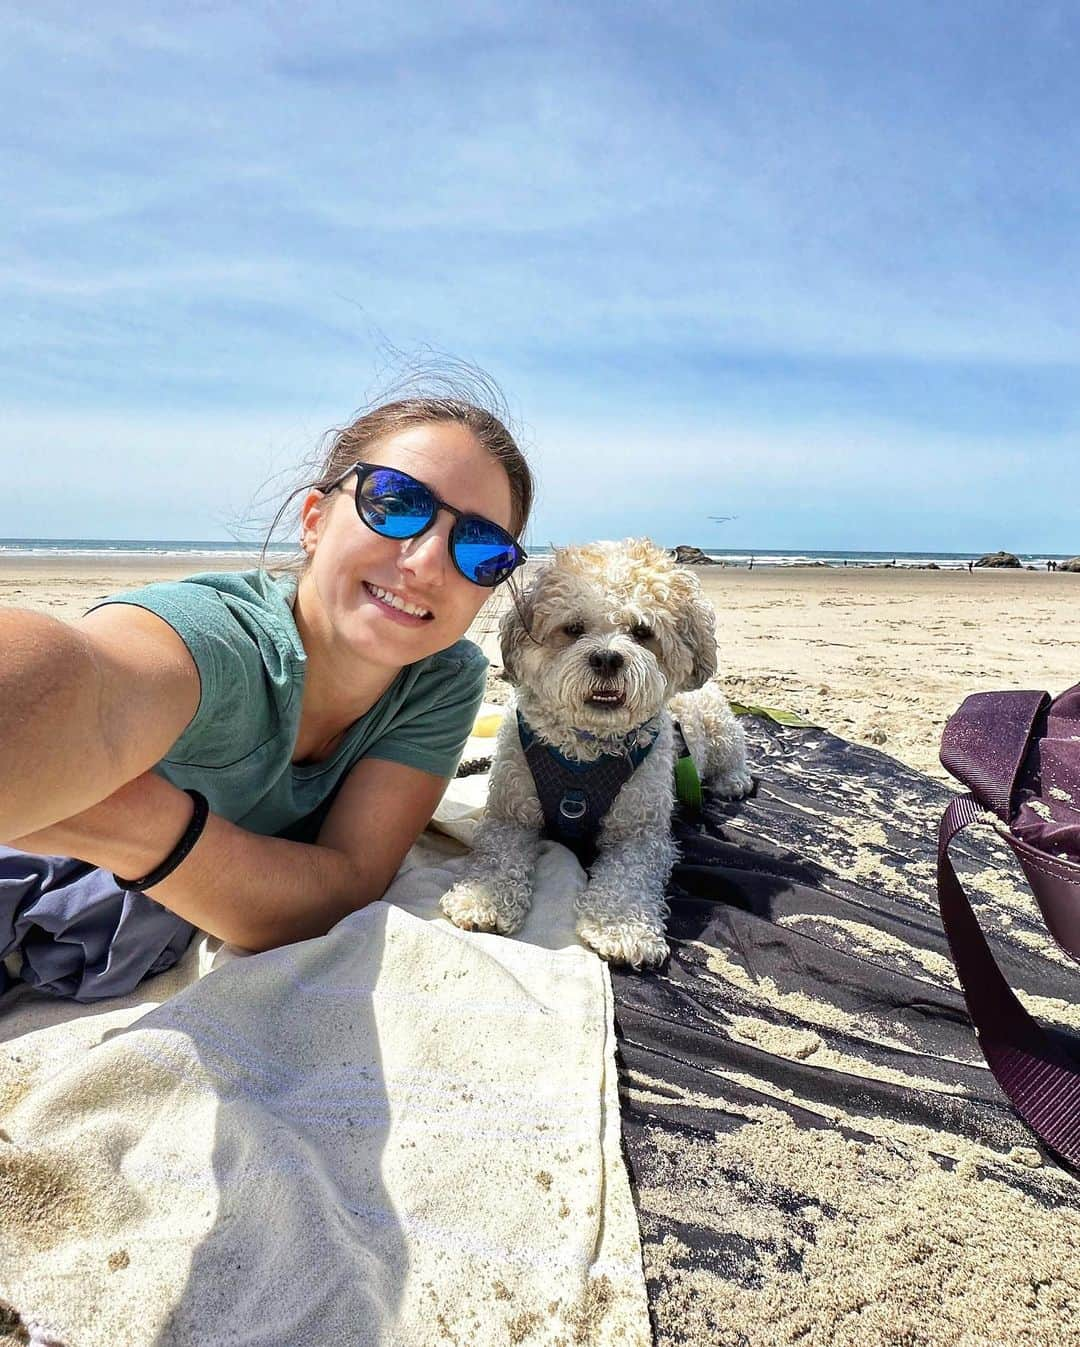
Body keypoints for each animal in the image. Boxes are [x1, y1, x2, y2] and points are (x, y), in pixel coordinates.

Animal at [436, 536, 748, 969]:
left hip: (718, 726)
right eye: (573, 628)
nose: (606, 658)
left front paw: (621, 929)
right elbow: (497, 856)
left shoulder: (640, 834)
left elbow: (628, 876)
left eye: (642, 631)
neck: (586, 749)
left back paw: (734, 781)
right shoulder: (509, 816)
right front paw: (483, 900)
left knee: (734, 753)